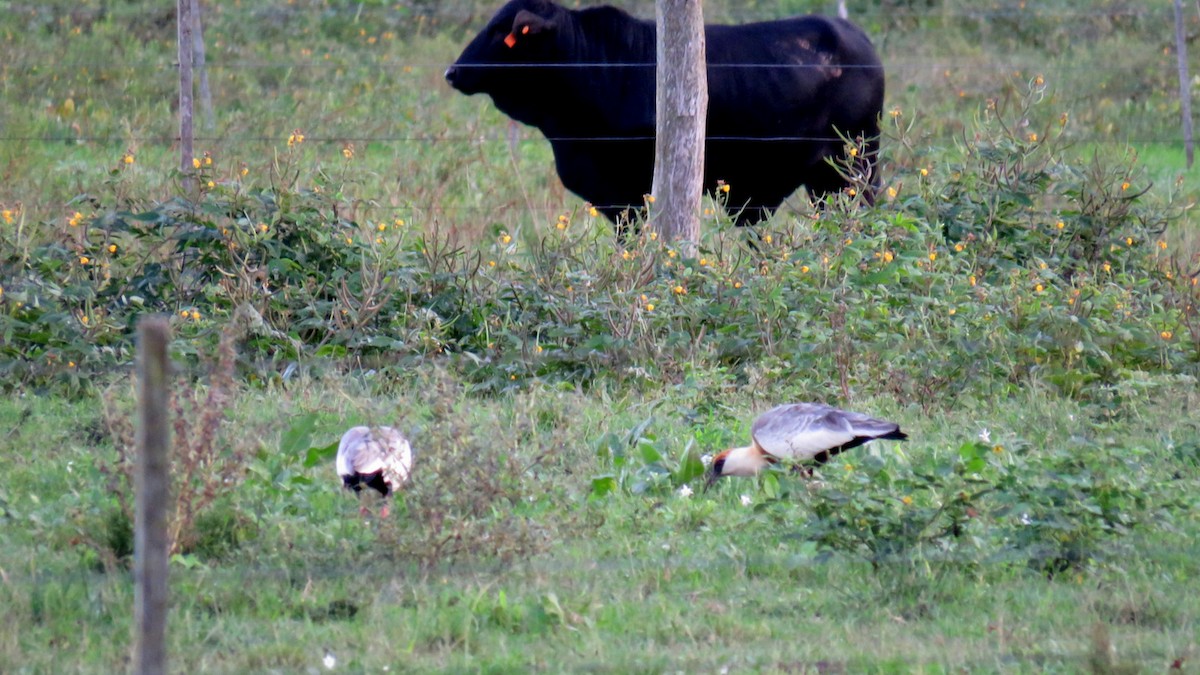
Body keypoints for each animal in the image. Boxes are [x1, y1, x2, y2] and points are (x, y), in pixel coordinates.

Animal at [446, 0, 888, 228]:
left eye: (502, 32)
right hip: (825, 179)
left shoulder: (629, 193)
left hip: (857, 164)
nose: (453, 71)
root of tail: (858, 39)